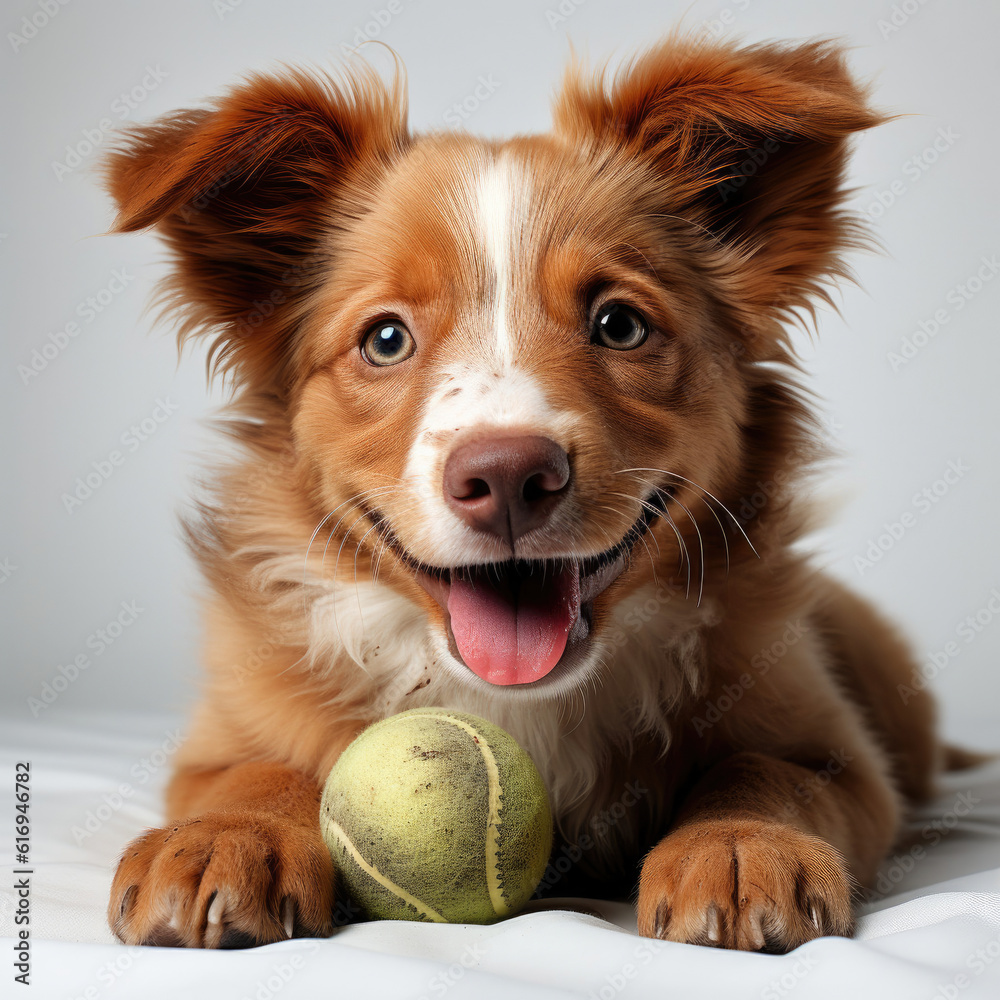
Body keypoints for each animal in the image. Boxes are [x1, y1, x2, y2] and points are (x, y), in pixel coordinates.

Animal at [103, 33, 944, 952]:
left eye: (620, 325)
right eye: (386, 339)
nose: (507, 476)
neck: (516, 701)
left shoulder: (839, 754)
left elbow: (764, 767)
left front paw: (739, 843)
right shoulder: (220, 738)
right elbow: (256, 769)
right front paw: (224, 837)